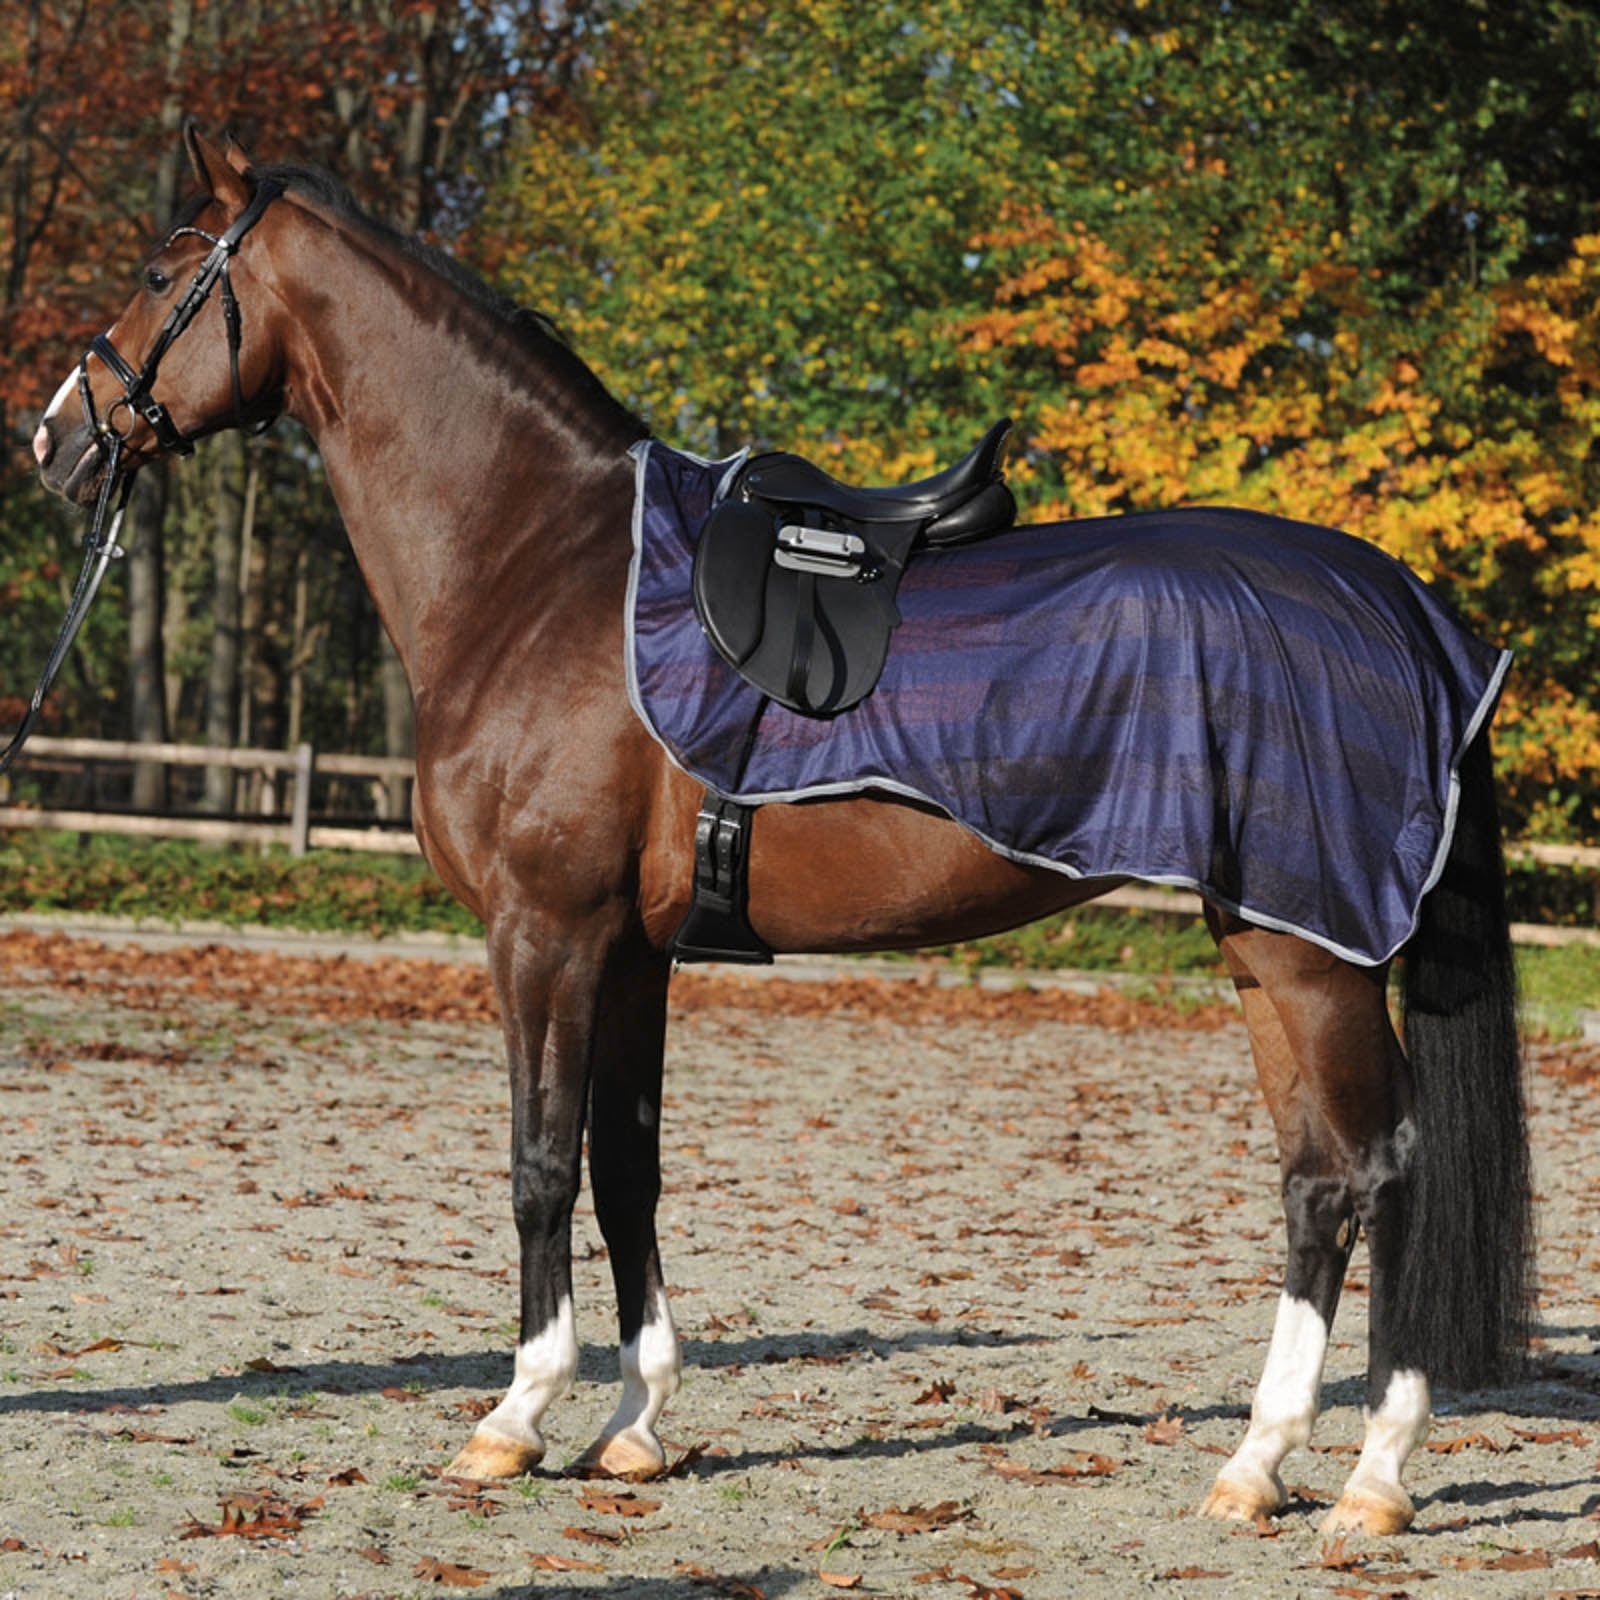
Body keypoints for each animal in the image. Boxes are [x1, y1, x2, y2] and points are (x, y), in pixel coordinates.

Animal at [28, 128, 1531, 1538]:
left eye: (160, 270)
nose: (53, 439)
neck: (539, 565)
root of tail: (1406, 609)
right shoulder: (633, 952)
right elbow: (626, 1171)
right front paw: (632, 1426)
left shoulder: (544, 934)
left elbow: (539, 1165)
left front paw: (514, 1418)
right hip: (1264, 945)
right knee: (1316, 1179)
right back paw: (1256, 1463)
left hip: (1314, 956)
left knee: (1382, 1170)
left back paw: (1373, 1478)